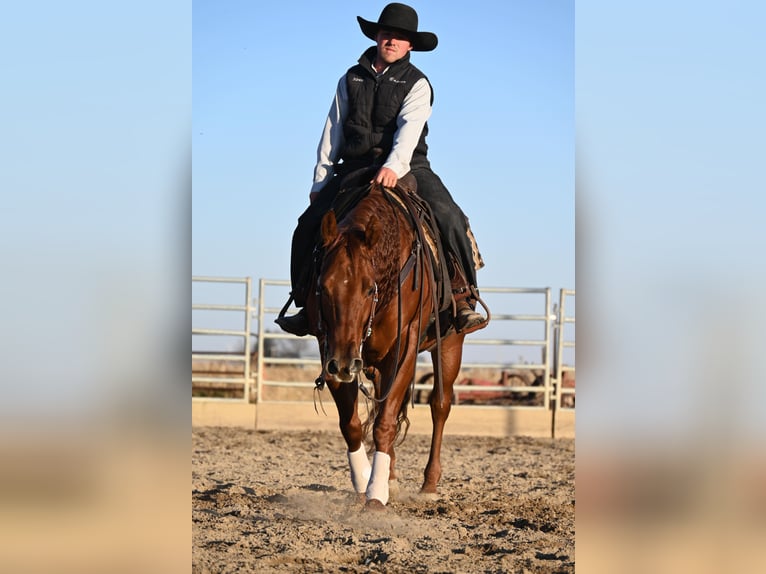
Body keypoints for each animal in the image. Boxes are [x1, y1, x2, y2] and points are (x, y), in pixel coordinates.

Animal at [308, 181, 468, 512]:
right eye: (323, 287)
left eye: (370, 289)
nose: (344, 363)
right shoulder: (329, 348)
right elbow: (352, 423)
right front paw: (364, 482)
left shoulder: (405, 346)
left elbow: (384, 423)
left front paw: (375, 494)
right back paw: (390, 479)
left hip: (449, 344)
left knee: (439, 405)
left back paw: (429, 484)